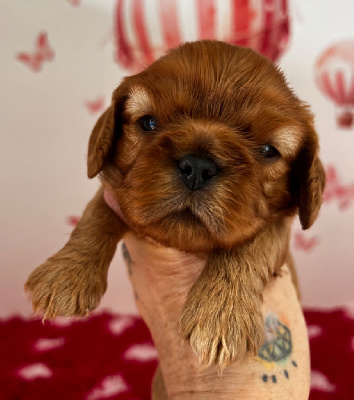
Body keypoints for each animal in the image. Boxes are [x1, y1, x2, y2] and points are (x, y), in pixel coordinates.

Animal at [24, 40, 324, 378]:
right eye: (148, 123)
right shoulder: (118, 195)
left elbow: (252, 243)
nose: (197, 167)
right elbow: (97, 213)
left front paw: (220, 312)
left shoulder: (278, 227)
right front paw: (66, 274)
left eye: (268, 150)